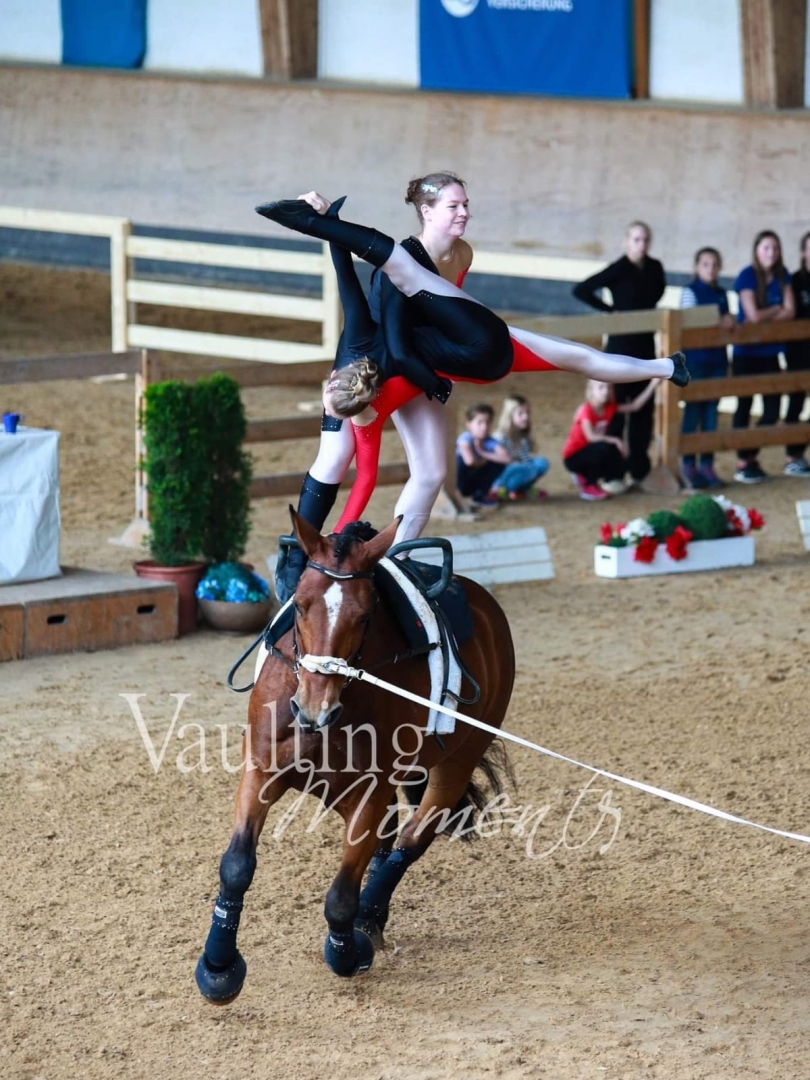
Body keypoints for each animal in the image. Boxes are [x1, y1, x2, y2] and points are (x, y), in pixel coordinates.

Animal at [195, 510, 516, 1002]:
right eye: (300, 605)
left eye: (365, 616)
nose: (314, 707)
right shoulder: (260, 773)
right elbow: (236, 866)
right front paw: (218, 967)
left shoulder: (369, 795)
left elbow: (341, 897)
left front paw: (348, 953)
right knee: (390, 840)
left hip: (457, 763)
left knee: (410, 842)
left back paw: (370, 916)